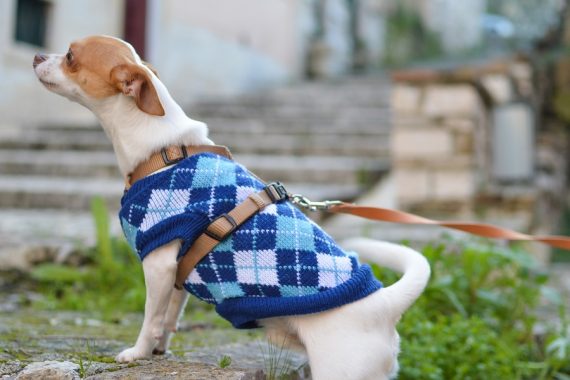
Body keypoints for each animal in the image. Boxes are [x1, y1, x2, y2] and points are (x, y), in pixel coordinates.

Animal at [33, 35, 428, 378]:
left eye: (70, 56)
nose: (36, 56)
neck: (163, 150)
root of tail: (384, 305)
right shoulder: (176, 273)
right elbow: (169, 317)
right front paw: (160, 349)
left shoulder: (158, 263)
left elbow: (150, 318)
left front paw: (138, 353)